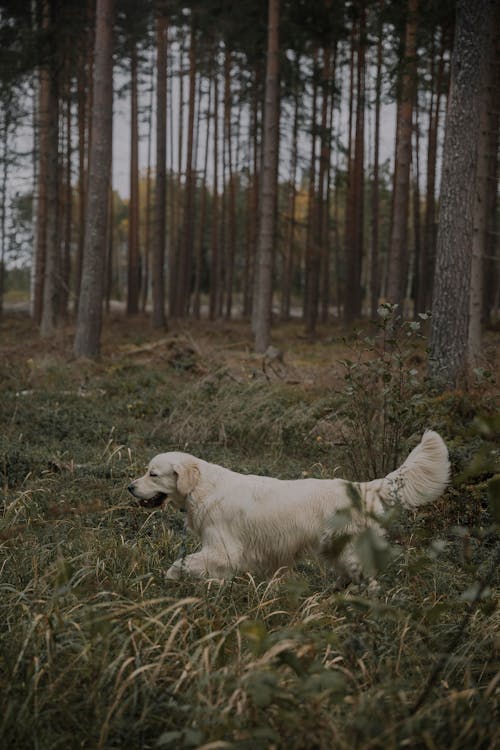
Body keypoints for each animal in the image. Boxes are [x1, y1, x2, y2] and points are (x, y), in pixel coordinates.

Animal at [128, 432, 450, 584]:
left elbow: (179, 564)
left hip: (349, 550)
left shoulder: (222, 550)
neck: (203, 488)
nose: (129, 487)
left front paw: (168, 581)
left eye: (152, 474)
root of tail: (362, 486)